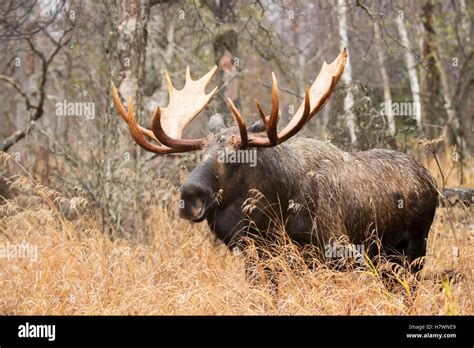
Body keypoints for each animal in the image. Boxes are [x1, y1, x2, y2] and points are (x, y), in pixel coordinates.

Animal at [111, 49, 436, 278]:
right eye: (200, 153)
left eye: (236, 156)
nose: (190, 195)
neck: (272, 212)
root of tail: (431, 181)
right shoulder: (259, 260)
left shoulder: (335, 251)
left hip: (414, 250)